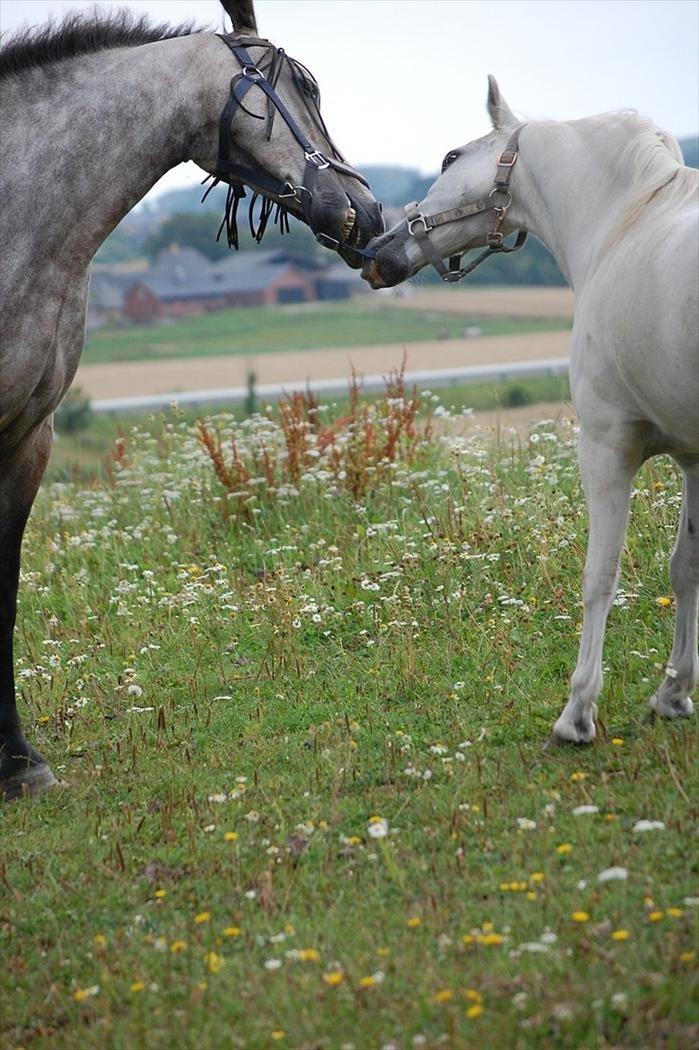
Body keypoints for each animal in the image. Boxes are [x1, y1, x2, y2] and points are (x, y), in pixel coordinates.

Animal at [361, 77, 692, 743]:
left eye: (450, 158)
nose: (377, 253)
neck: (628, 225)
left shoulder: (606, 446)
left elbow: (600, 577)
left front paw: (577, 712)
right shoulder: (696, 457)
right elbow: (686, 568)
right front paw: (672, 693)